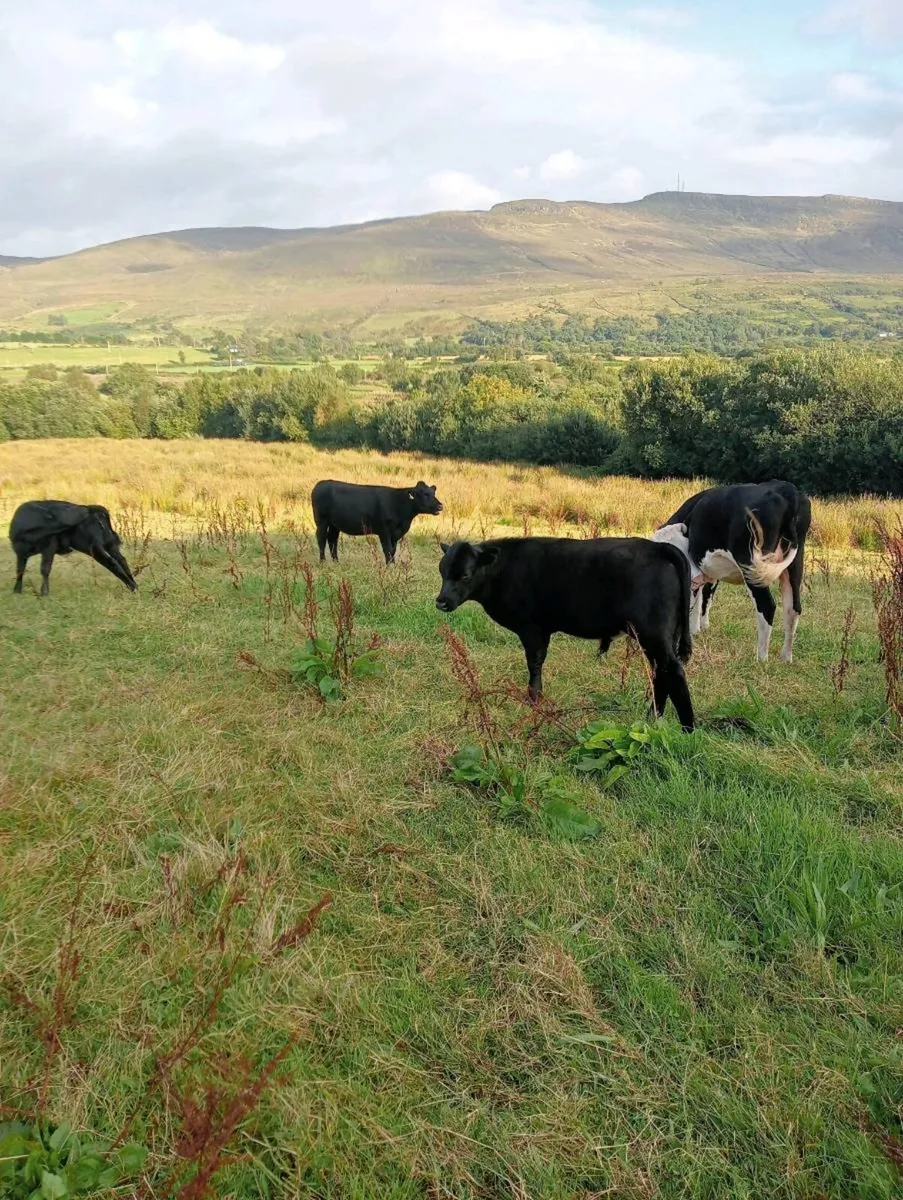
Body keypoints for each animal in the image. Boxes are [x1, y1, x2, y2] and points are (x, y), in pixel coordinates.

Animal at [10, 500, 138, 596]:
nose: (85, 511)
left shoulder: (49, 547)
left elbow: (45, 569)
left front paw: (44, 592)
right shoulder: (20, 552)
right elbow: (20, 570)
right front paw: (17, 590)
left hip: (94, 547)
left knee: (112, 562)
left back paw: (133, 587)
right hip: (108, 545)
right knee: (121, 560)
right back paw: (134, 585)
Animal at [311, 479, 443, 565]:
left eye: (433, 493)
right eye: (425, 494)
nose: (440, 506)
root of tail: (320, 484)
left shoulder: (395, 534)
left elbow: (393, 550)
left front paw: (392, 565)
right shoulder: (384, 531)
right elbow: (387, 550)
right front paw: (390, 566)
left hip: (335, 524)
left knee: (332, 540)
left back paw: (336, 562)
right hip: (321, 520)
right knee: (321, 538)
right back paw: (323, 561)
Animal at [435, 536, 695, 731]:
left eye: (465, 574)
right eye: (442, 571)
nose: (441, 601)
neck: (504, 569)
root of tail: (659, 547)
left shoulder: (531, 629)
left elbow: (534, 664)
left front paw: (534, 700)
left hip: (653, 634)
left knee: (673, 673)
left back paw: (688, 729)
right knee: (661, 675)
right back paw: (652, 718)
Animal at [650, 480, 811, 663]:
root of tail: (787, 490)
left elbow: (693, 600)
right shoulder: (708, 572)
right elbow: (704, 597)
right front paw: (700, 628)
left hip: (752, 566)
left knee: (767, 606)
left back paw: (761, 658)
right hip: (794, 563)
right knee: (793, 608)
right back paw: (786, 657)